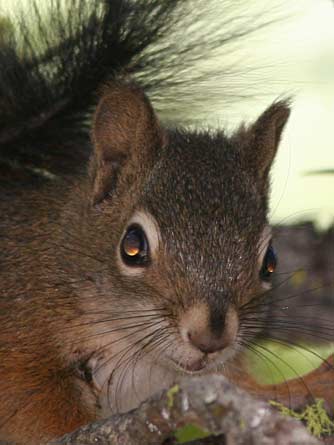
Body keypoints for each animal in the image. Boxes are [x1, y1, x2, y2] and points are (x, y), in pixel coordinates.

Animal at [0, 0, 332, 444]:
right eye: (132, 245)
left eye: (270, 262)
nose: (211, 339)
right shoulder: (20, 330)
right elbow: (35, 408)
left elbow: (257, 393)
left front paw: (316, 383)